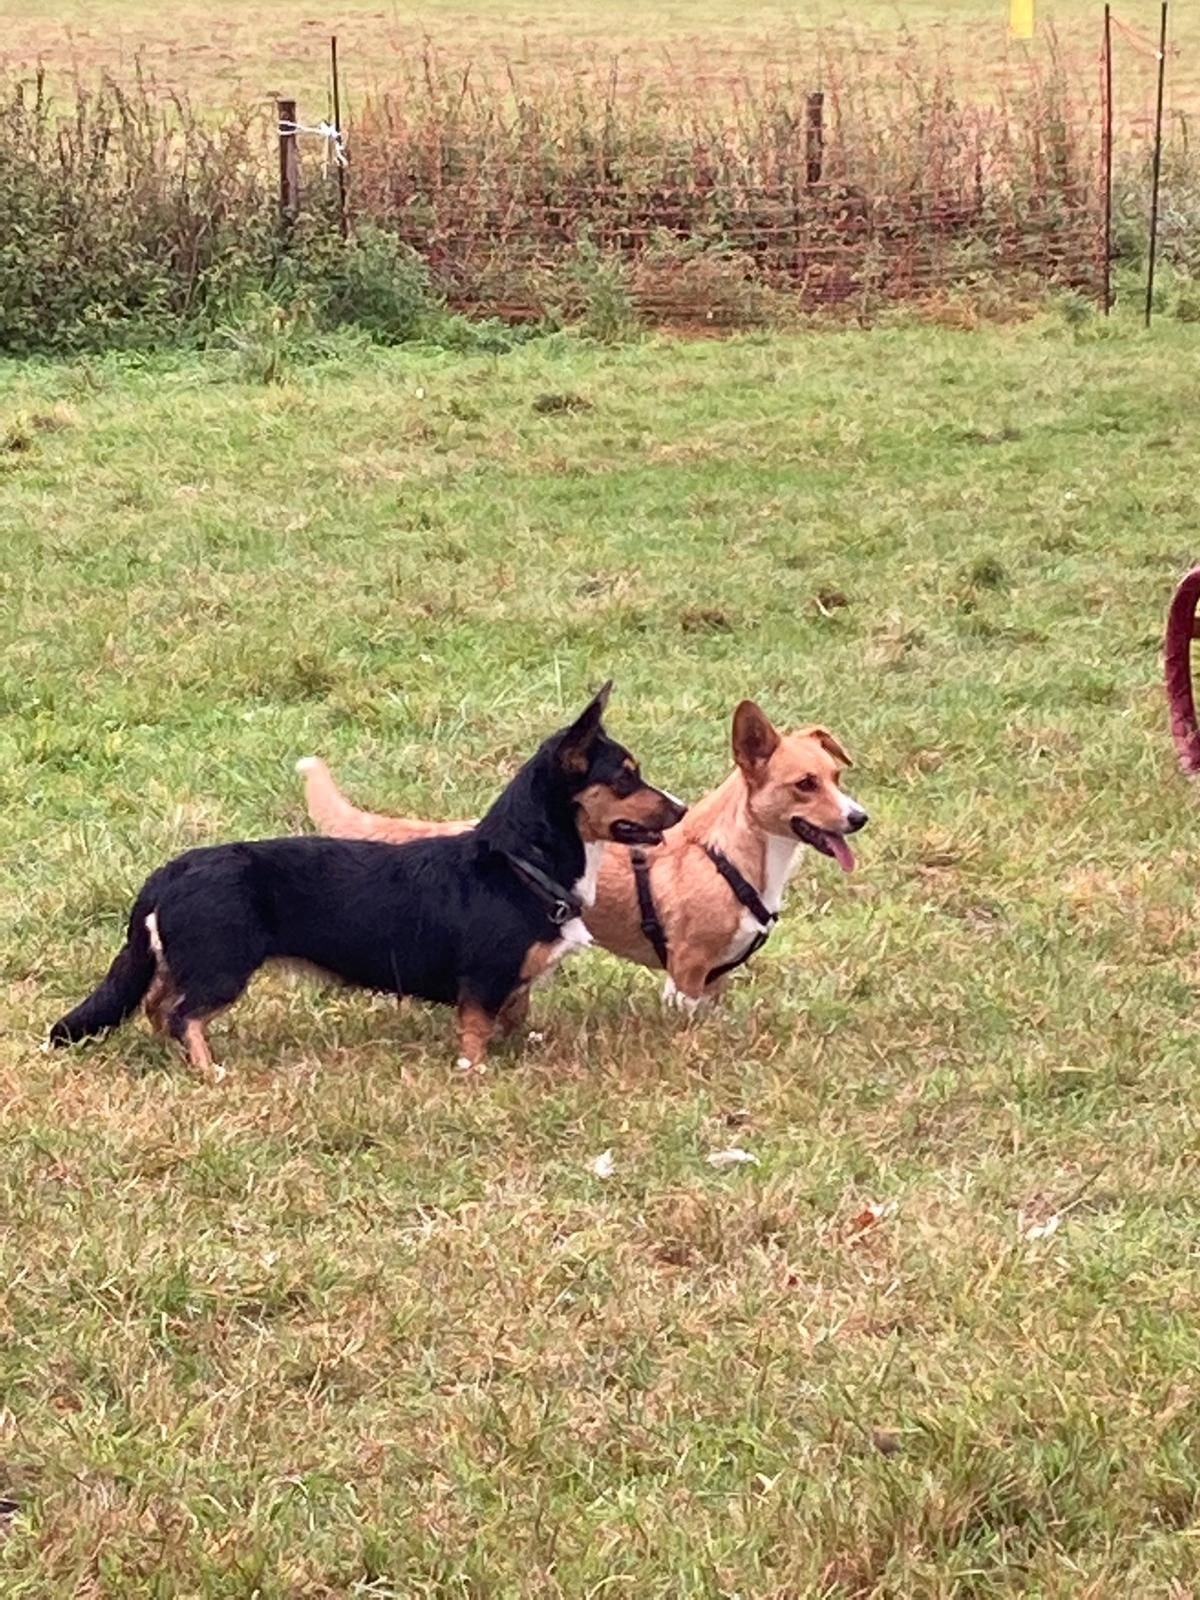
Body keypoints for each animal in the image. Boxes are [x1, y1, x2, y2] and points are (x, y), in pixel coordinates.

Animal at [49, 684, 685, 1076]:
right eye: (626, 778)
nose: (679, 810)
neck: (521, 863)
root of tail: (167, 873)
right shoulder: (482, 979)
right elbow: (476, 1032)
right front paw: (475, 1072)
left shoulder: (513, 984)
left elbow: (514, 1016)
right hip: (222, 966)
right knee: (185, 1014)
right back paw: (210, 1069)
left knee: (158, 1006)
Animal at [299, 699, 866, 1012]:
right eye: (804, 784)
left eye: (837, 777)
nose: (859, 817)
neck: (725, 855)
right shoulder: (685, 974)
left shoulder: (715, 980)